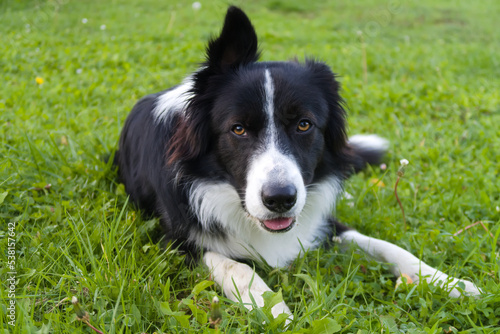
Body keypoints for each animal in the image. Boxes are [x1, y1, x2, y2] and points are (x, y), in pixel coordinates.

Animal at [116, 5, 480, 318]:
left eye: (304, 124)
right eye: (238, 129)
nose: (280, 200)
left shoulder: (321, 221)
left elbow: (385, 245)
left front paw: (448, 282)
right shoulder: (174, 239)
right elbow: (237, 266)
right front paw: (274, 309)